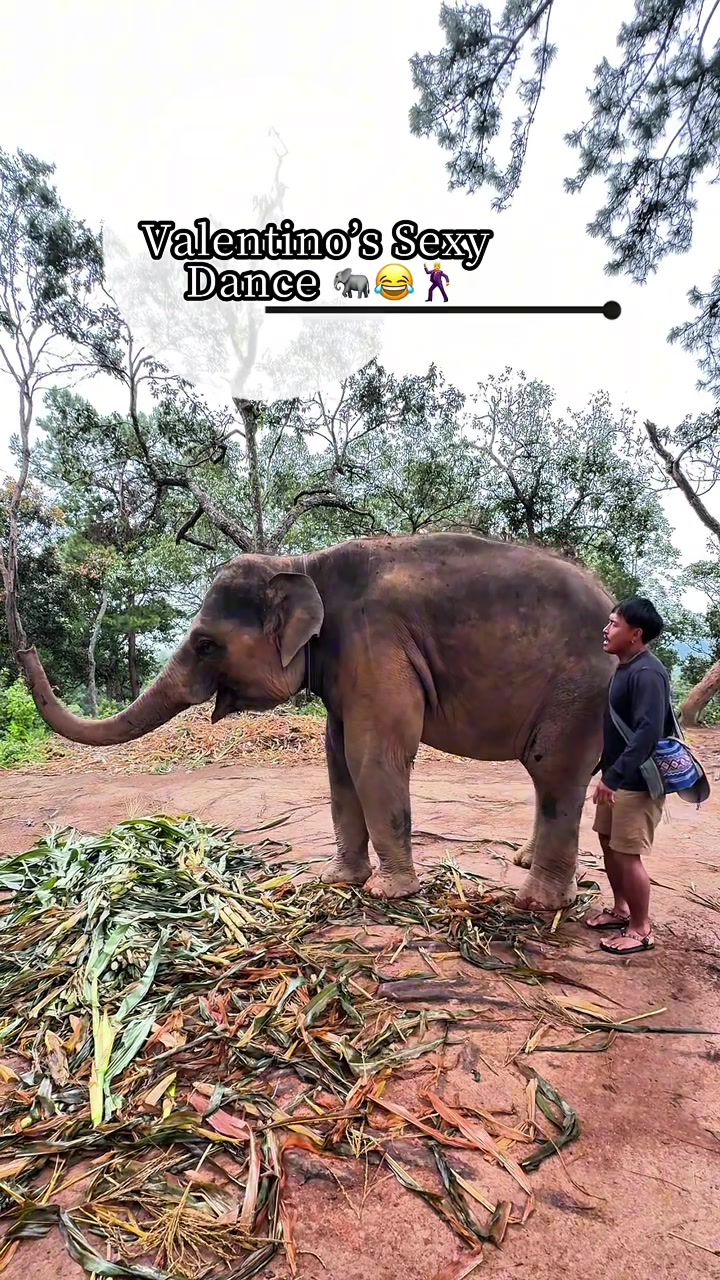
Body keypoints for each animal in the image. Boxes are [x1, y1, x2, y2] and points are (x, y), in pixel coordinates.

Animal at [19, 533, 615, 910]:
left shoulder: (375, 645)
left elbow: (372, 755)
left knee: (553, 771)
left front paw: (389, 894)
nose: (23, 642)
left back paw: (537, 903)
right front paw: (339, 880)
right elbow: (338, 759)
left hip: (580, 690)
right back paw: (525, 865)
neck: (304, 564)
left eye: (206, 643)